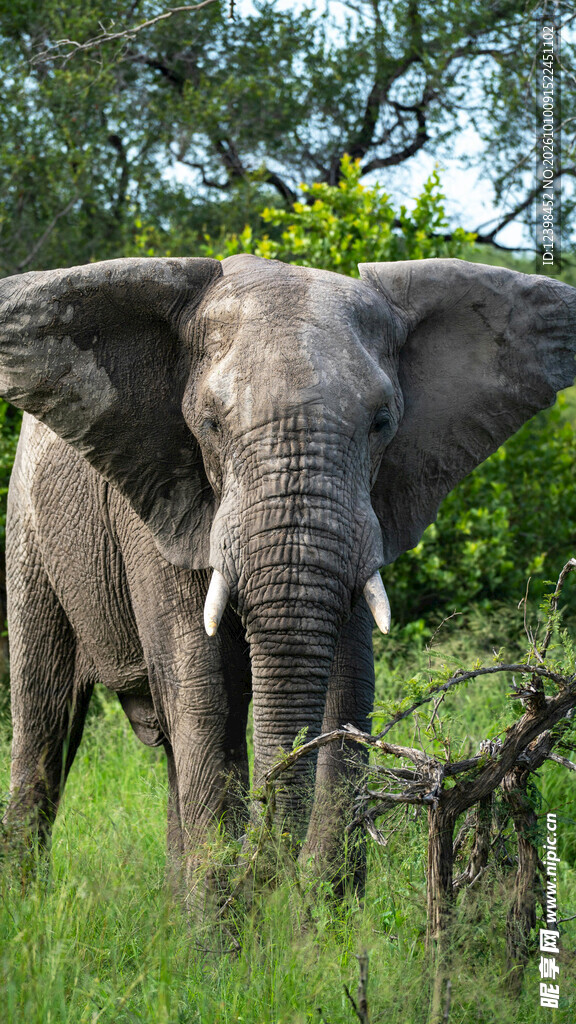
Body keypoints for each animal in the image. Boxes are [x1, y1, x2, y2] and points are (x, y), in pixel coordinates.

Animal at [0, 253, 575, 892]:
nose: (267, 874)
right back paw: (29, 902)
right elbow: (207, 697)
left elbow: (349, 689)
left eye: (382, 423)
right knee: (44, 717)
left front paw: (319, 912)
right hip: (27, 526)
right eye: (210, 425)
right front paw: (226, 913)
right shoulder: (159, 502)